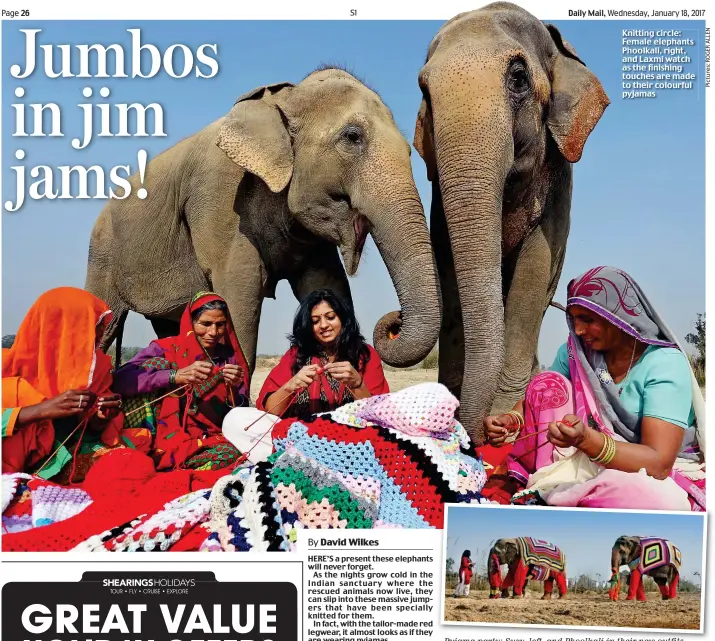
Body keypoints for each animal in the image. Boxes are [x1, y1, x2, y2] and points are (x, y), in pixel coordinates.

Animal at [85, 63, 442, 376]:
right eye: (353, 137)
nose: (394, 321)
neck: (284, 100)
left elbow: (327, 284)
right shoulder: (221, 199)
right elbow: (239, 297)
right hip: (102, 255)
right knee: (105, 327)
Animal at [414, 1, 608, 440]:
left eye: (518, 77)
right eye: (424, 92)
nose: (478, 432)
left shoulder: (558, 186)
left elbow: (534, 271)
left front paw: (507, 422)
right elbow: (447, 264)